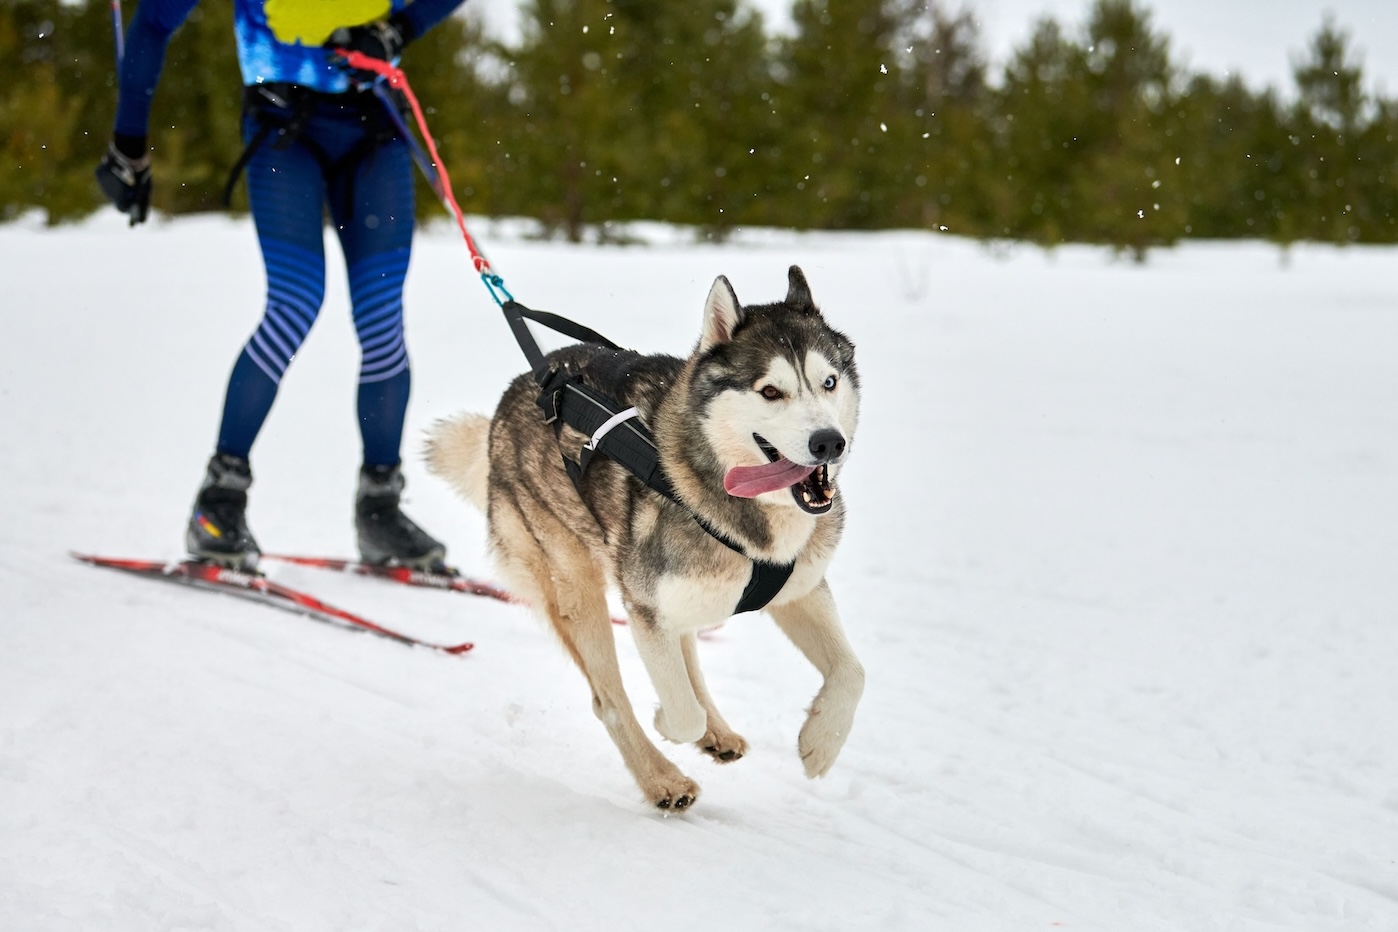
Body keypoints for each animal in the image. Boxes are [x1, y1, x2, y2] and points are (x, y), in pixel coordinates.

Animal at [424, 268, 861, 810]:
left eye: (829, 382)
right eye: (770, 392)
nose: (829, 442)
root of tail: (524, 386)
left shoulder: (800, 590)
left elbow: (853, 673)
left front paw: (821, 743)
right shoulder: (644, 606)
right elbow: (681, 711)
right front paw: (669, 726)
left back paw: (716, 732)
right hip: (577, 591)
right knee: (609, 700)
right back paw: (661, 778)